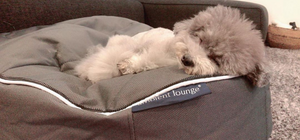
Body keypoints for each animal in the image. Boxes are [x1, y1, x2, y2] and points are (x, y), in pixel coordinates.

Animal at [75, 4, 270, 86]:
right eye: (199, 39)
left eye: (216, 59)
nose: (188, 59)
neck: (171, 57)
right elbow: (140, 57)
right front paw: (125, 65)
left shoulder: (156, 60)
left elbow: (147, 61)